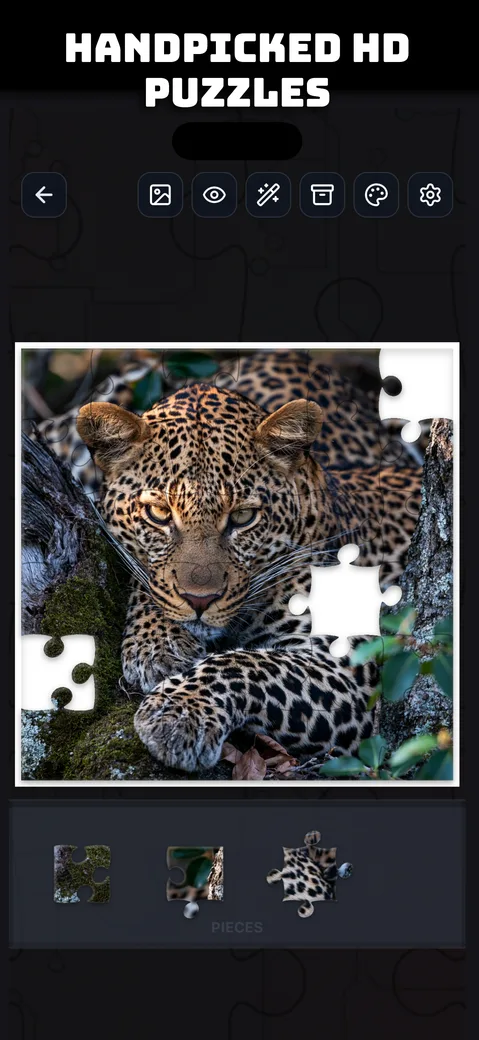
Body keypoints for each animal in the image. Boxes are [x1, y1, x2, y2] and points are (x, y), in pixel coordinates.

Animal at [67, 348, 423, 774]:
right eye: (158, 513)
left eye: (242, 518)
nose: (200, 600)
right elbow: (149, 576)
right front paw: (159, 643)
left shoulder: (350, 672)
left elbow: (247, 664)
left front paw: (180, 711)